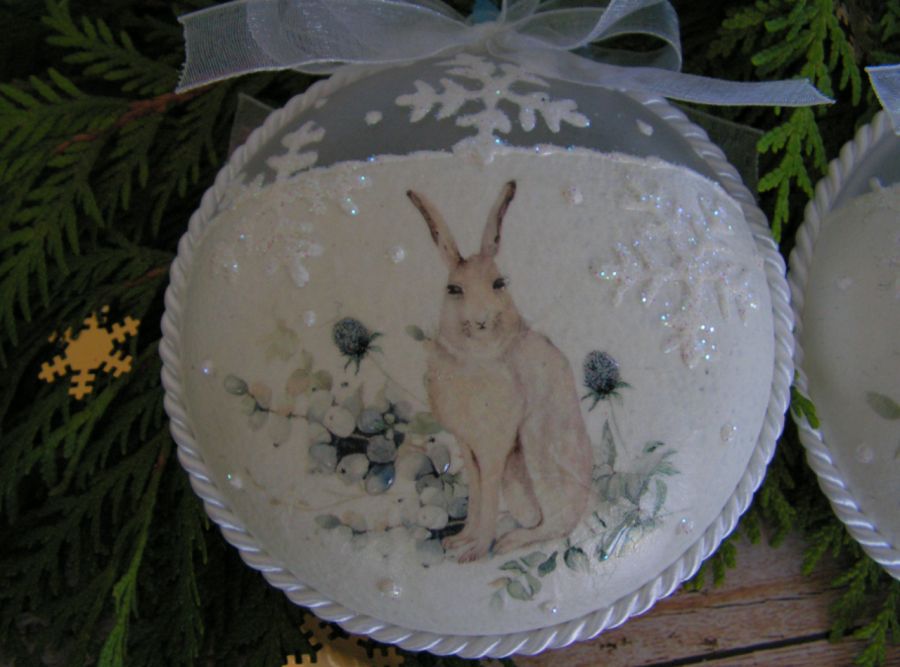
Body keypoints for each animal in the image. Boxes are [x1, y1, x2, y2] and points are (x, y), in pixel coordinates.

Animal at [406, 180, 593, 563]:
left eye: (499, 284)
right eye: (453, 289)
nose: (480, 321)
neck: (476, 357)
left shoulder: (494, 443)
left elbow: (488, 492)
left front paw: (475, 550)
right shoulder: (468, 444)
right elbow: (477, 490)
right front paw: (460, 540)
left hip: (537, 455)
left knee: (556, 524)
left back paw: (508, 542)